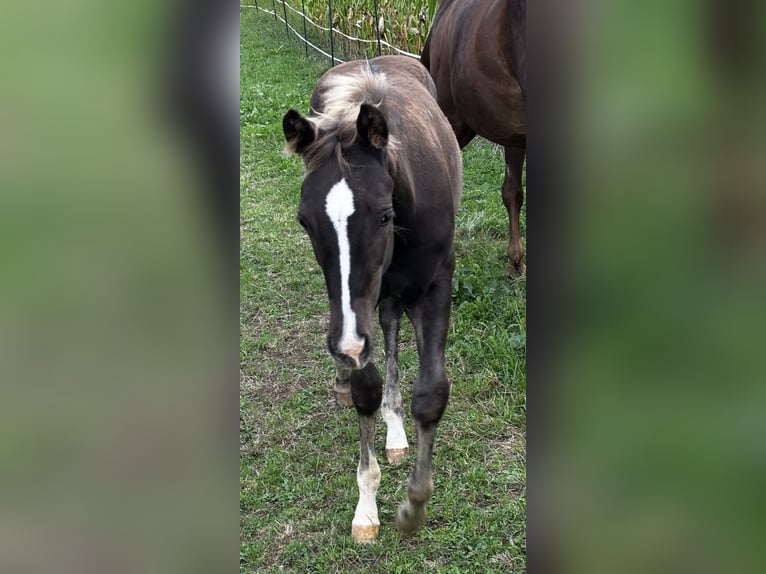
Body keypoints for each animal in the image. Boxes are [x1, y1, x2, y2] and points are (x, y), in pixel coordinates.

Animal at [282, 55, 462, 543]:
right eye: (305, 221)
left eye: (384, 215)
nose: (345, 347)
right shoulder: (353, 312)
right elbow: (366, 388)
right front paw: (366, 507)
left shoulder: (435, 284)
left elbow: (431, 392)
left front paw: (414, 505)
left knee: (391, 328)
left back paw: (397, 431)